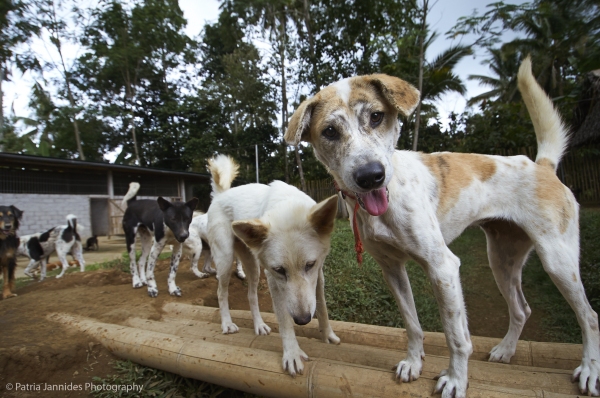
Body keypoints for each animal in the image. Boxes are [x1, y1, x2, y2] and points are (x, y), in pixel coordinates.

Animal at [206, 155, 340, 376]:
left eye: (310, 265)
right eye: (280, 271)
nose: (303, 320)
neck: (287, 207)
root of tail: (220, 195)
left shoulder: (318, 275)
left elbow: (322, 307)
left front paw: (327, 335)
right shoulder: (273, 279)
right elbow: (285, 321)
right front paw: (292, 353)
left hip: (253, 268)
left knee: (251, 296)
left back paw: (259, 325)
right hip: (225, 261)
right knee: (220, 293)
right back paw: (227, 323)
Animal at [284, 56, 600, 398]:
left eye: (376, 116)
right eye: (330, 131)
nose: (371, 176)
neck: (389, 200)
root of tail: (541, 165)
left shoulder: (443, 267)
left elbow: (456, 336)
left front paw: (456, 380)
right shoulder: (392, 269)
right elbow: (412, 324)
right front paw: (413, 363)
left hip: (557, 261)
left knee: (590, 317)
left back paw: (589, 371)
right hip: (502, 261)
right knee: (521, 310)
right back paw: (505, 350)